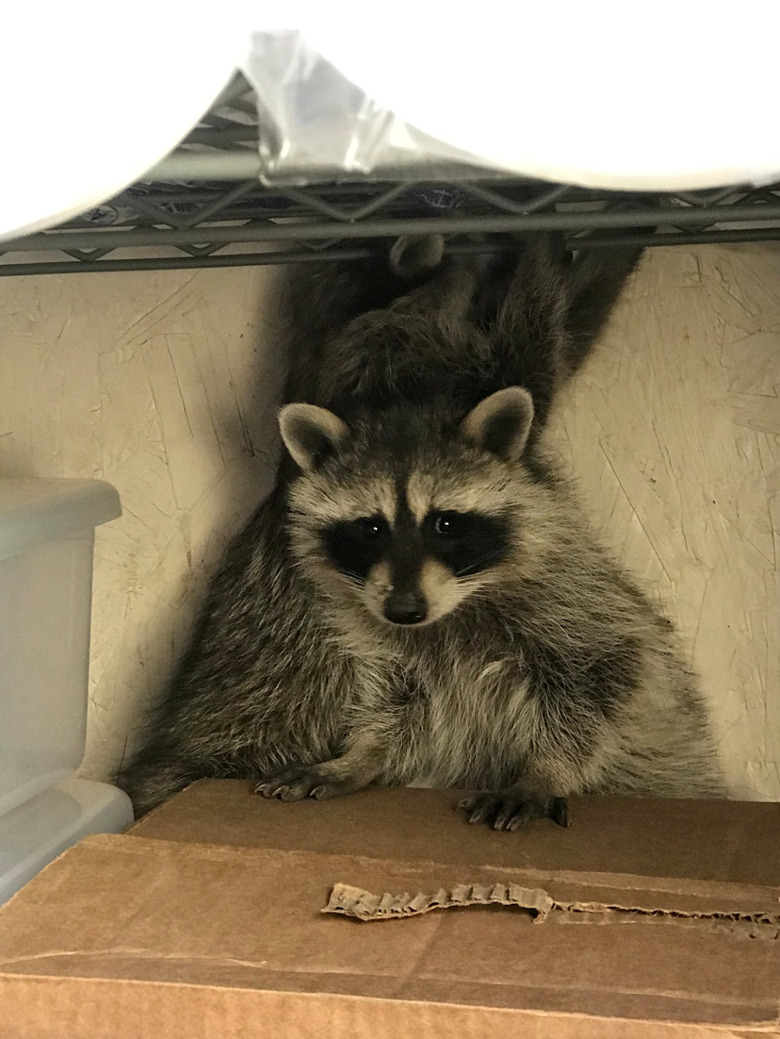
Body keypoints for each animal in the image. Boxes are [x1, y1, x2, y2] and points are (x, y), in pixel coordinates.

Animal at [122, 233, 727, 818]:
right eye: (369, 530)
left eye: (447, 524)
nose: (405, 608)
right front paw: (361, 756)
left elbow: (603, 674)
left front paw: (544, 770)